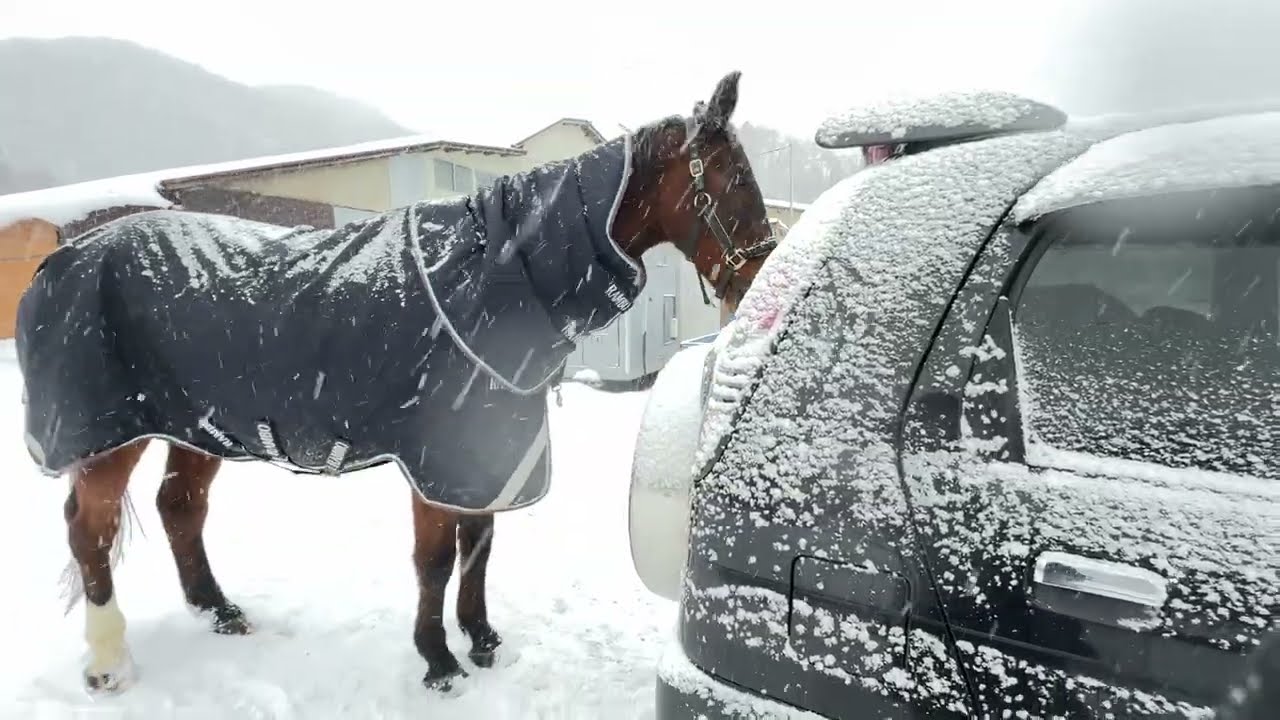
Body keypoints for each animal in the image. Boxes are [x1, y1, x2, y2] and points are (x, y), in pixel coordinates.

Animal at [13, 69, 777, 695]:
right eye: (735, 179)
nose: (757, 278)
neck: (494, 275)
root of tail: (61, 260)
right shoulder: (433, 456)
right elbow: (435, 559)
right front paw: (437, 660)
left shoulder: (482, 451)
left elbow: (479, 548)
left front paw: (482, 639)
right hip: (110, 436)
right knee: (90, 530)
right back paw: (108, 663)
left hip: (197, 426)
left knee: (180, 508)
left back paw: (219, 611)